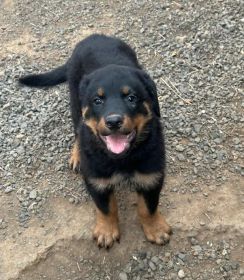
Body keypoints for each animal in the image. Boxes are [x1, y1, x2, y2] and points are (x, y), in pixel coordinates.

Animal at [19, 34, 172, 247]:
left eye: (132, 98)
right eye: (98, 101)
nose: (113, 121)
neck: (121, 158)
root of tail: (95, 36)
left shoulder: (151, 175)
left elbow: (148, 207)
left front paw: (156, 229)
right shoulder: (96, 179)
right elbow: (106, 208)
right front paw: (107, 232)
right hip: (75, 102)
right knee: (78, 128)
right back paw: (77, 155)